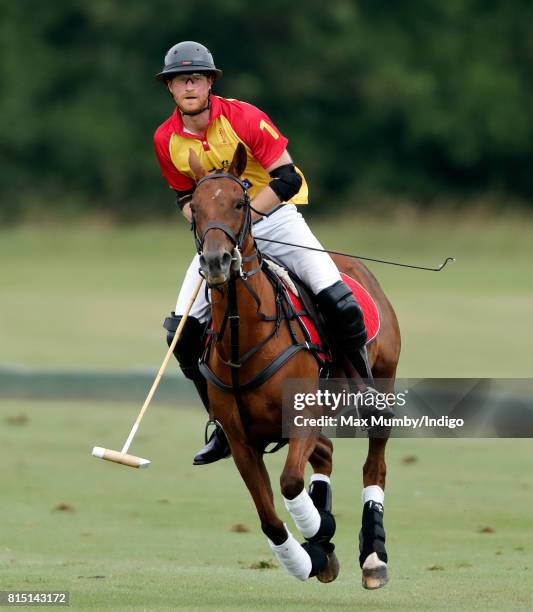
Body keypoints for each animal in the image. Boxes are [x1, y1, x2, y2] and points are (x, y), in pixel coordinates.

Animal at [187, 143, 400, 588]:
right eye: (194, 207)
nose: (216, 262)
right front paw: (312, 553)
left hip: (381, 386)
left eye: (240, 203)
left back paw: (373, 557)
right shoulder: (242, 442)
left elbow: (288, 484)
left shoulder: (300, 419)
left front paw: (319, 529)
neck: (244, 340)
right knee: (327, 453)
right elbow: (269, 516)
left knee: (375, 465)